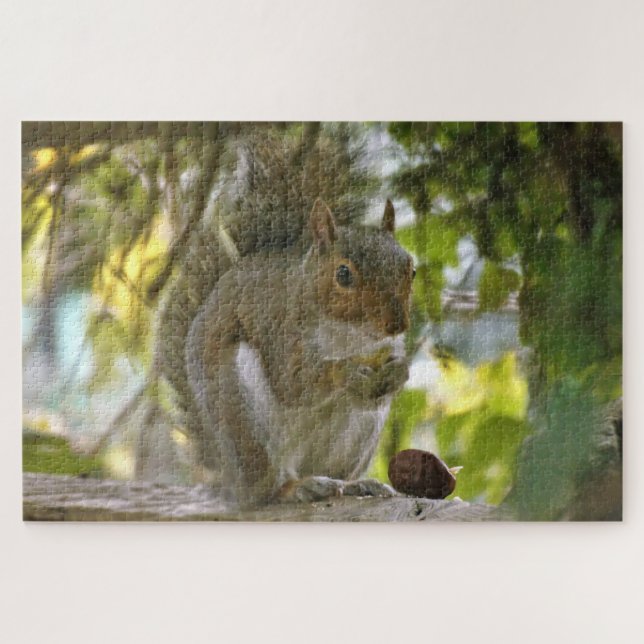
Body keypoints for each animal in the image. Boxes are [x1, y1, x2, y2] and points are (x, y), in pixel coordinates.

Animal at [153, 127, 414, 507]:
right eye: (344, 274)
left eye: (411, 270)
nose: (397, 324)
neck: (348, 333)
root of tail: (229, 477)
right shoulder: (277, 324)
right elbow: (292, 382)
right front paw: (345, 372)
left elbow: (382, 381)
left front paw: (400, 372)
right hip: (243, 421)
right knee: (267, 488)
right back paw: (293, 488)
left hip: (356, 438)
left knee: (336, 470)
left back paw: (353, 485)